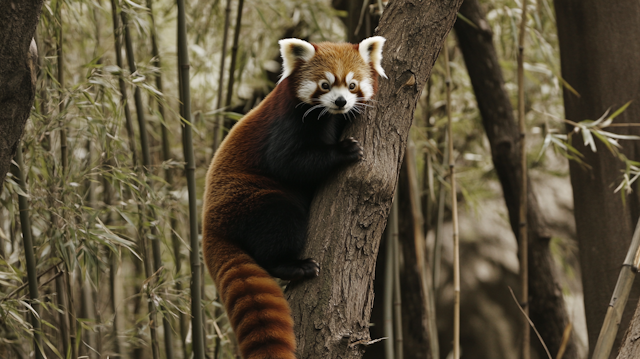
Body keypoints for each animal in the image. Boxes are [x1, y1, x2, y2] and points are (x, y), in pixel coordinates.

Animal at [202, 36, 388, 359]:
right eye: (325, 85)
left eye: (352, 85)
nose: (341, 102)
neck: (327, 117)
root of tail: (210, 227)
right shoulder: (287, 122)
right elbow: (289, 163)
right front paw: (343, 152)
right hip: (255, 200)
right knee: (280, 222)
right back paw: (292, 266)